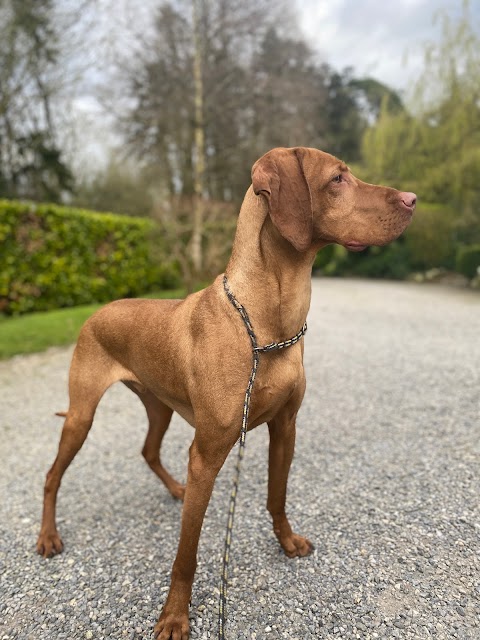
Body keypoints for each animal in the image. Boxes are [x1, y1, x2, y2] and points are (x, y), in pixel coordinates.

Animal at [37, 148, 414, 636]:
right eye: (337, 179)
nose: (412, 199)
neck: (267, 324)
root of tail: (97, 311)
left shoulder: (285, 427)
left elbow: (277, 496)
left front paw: (286, 540)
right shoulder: (207, 455)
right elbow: (187, 554)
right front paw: (174, 616)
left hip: (159, 406)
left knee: (148, 450)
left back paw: (174, 490)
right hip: (82, 415)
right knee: (52, 476)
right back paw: (48, 536)